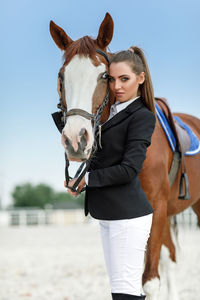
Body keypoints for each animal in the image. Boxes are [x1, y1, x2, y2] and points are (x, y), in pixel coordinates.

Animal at [49, 12, 200, 300]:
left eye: (104, 76)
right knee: (171, 259)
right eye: (62, 76)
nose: (75, 140)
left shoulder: (156, 208)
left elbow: (149, 281)